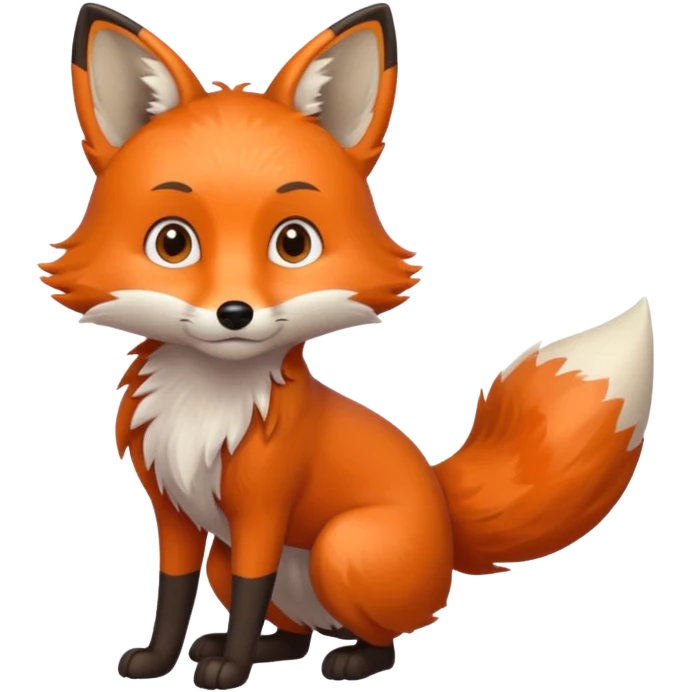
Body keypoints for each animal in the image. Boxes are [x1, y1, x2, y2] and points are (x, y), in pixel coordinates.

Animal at [43, 2, 656, 690]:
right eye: (172, 242)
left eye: (293, 243)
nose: (234, 314)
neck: (207, 405)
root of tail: (444, 512)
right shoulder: (173, 511)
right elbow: (172, 594)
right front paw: (160, 660)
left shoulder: (263, 510)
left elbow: (250, 590)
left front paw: (230, 670)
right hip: (235, 558)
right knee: (294, 629)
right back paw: (262, 647)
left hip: (342, 550)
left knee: (381, 637)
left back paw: (345, 659)